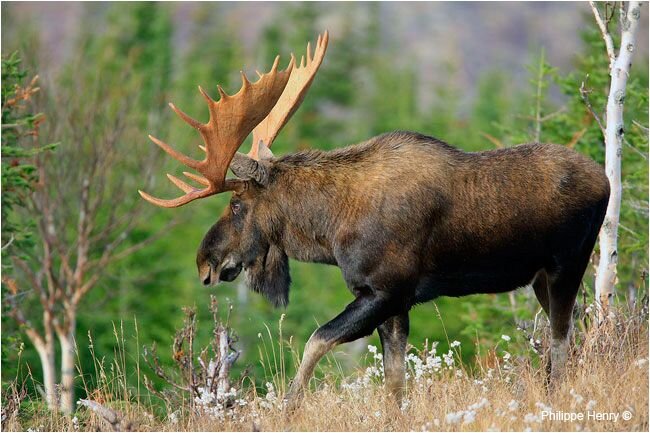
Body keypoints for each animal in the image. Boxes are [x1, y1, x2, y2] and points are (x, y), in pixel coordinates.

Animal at [137, 33, 608, 404]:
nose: (205, 261)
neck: (329, 232)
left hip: (567, 267)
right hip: (542, 279)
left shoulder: (385, 291)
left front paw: (290, 407)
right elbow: (394, 384)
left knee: (561, 344)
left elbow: (315, 341)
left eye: (236, 205)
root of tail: (605, 181)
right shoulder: (396, 304)